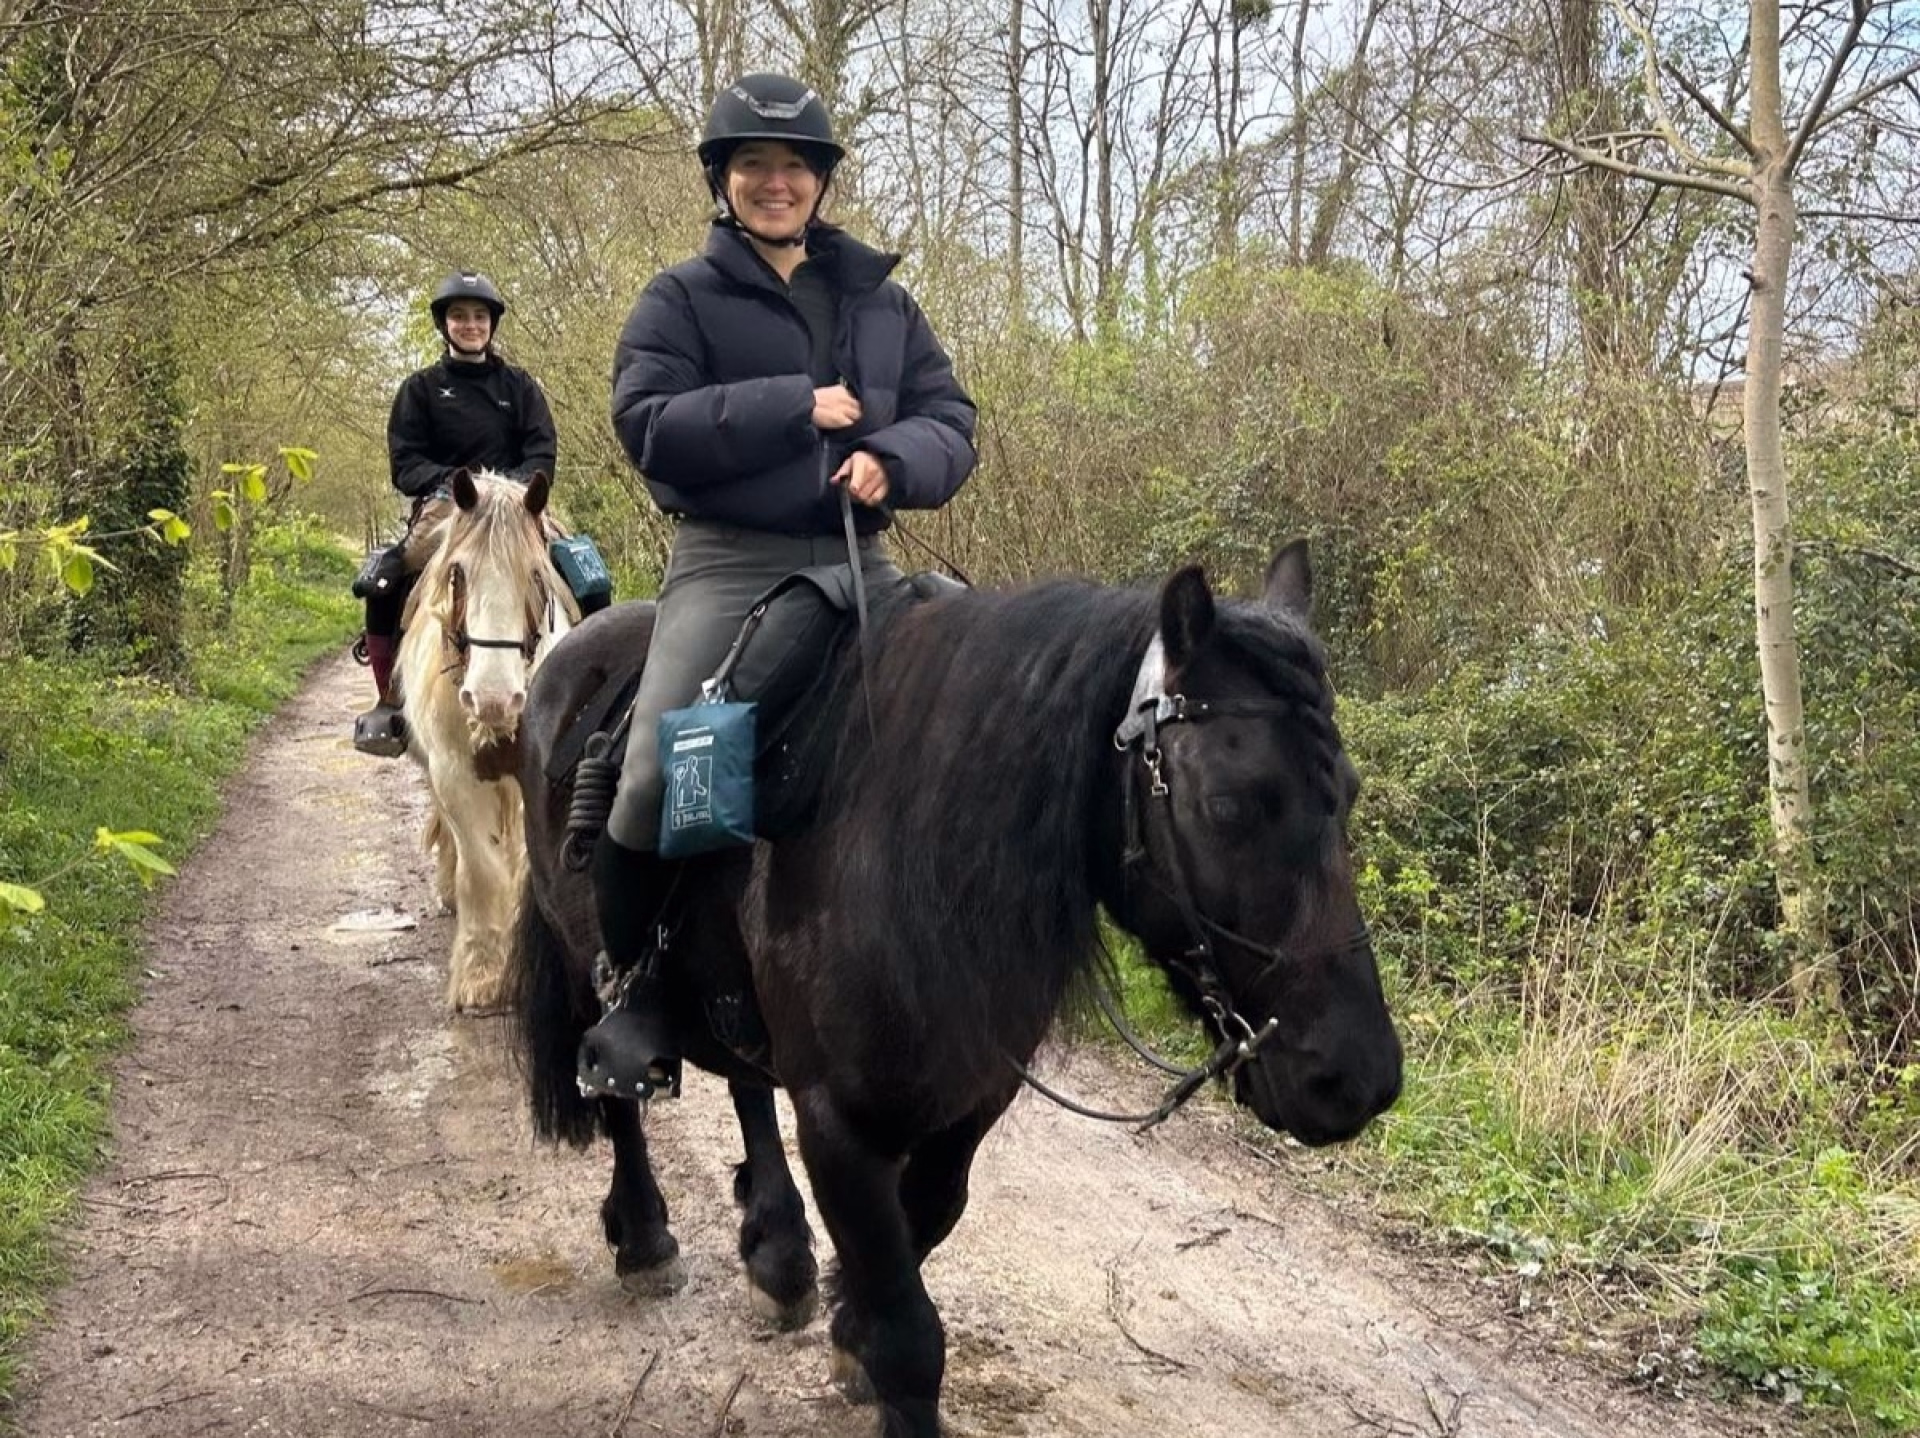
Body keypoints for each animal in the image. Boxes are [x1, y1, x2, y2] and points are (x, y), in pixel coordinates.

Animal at [398, 467, 576, 1012]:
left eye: (536, 575)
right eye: (458, 573)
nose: (494, 700)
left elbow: (521, 866)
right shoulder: (453, 772)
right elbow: (481, 868)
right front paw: (483, 975)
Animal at [508, 539, 1402, 1437]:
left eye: (1349, 791)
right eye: (1227, 804)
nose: (1357, 1080)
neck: (908, 841)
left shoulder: (973, 1099)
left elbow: (926, 1220)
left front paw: (848, 1328)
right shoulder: (839, 1122)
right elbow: (909, 1332)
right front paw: (873, 1349)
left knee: (746, 1087)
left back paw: (778, 1253)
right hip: (590, 969)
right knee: (617, 1092)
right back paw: (645, 1237)